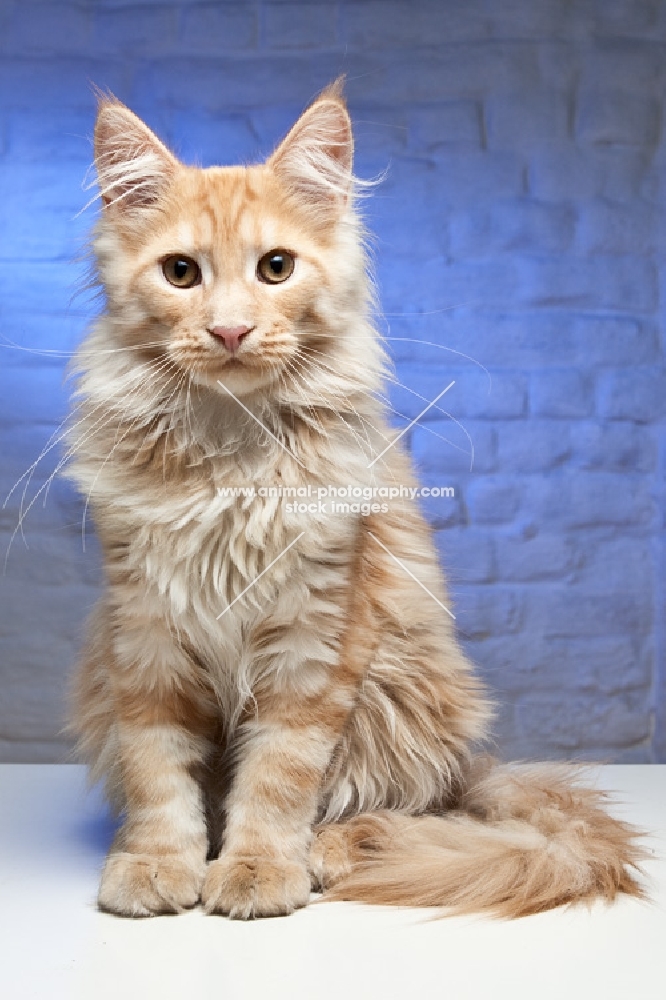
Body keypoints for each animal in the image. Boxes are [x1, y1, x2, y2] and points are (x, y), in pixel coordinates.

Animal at [65, 82, 640, 916]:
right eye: (180, 273)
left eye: (276, 268)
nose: (230, 330)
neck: (230, 457)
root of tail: (476, 767)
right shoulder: (144, 634)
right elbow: (157, 771)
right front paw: (157, 864)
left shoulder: (319, 634)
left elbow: (278, 777)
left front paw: (257, 869)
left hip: (400, 692)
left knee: (400, 808)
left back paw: (334, 853)